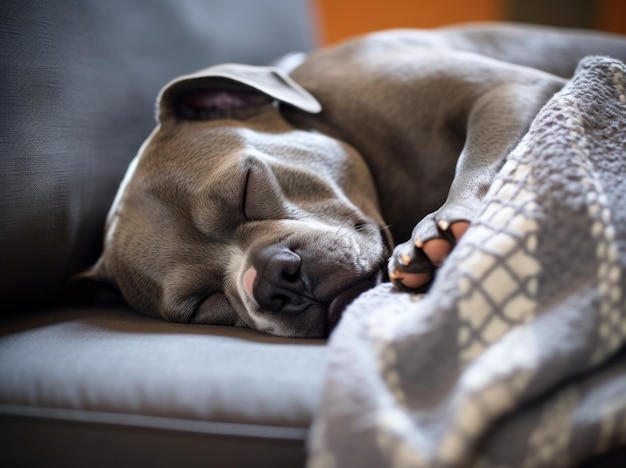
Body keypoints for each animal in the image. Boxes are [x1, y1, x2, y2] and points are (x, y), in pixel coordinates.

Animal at [83, 22, 624, 336]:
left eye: (245, 188)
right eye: (202, 303)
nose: (273, 281)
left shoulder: (510, 88)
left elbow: (477, 161)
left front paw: (441, 228)